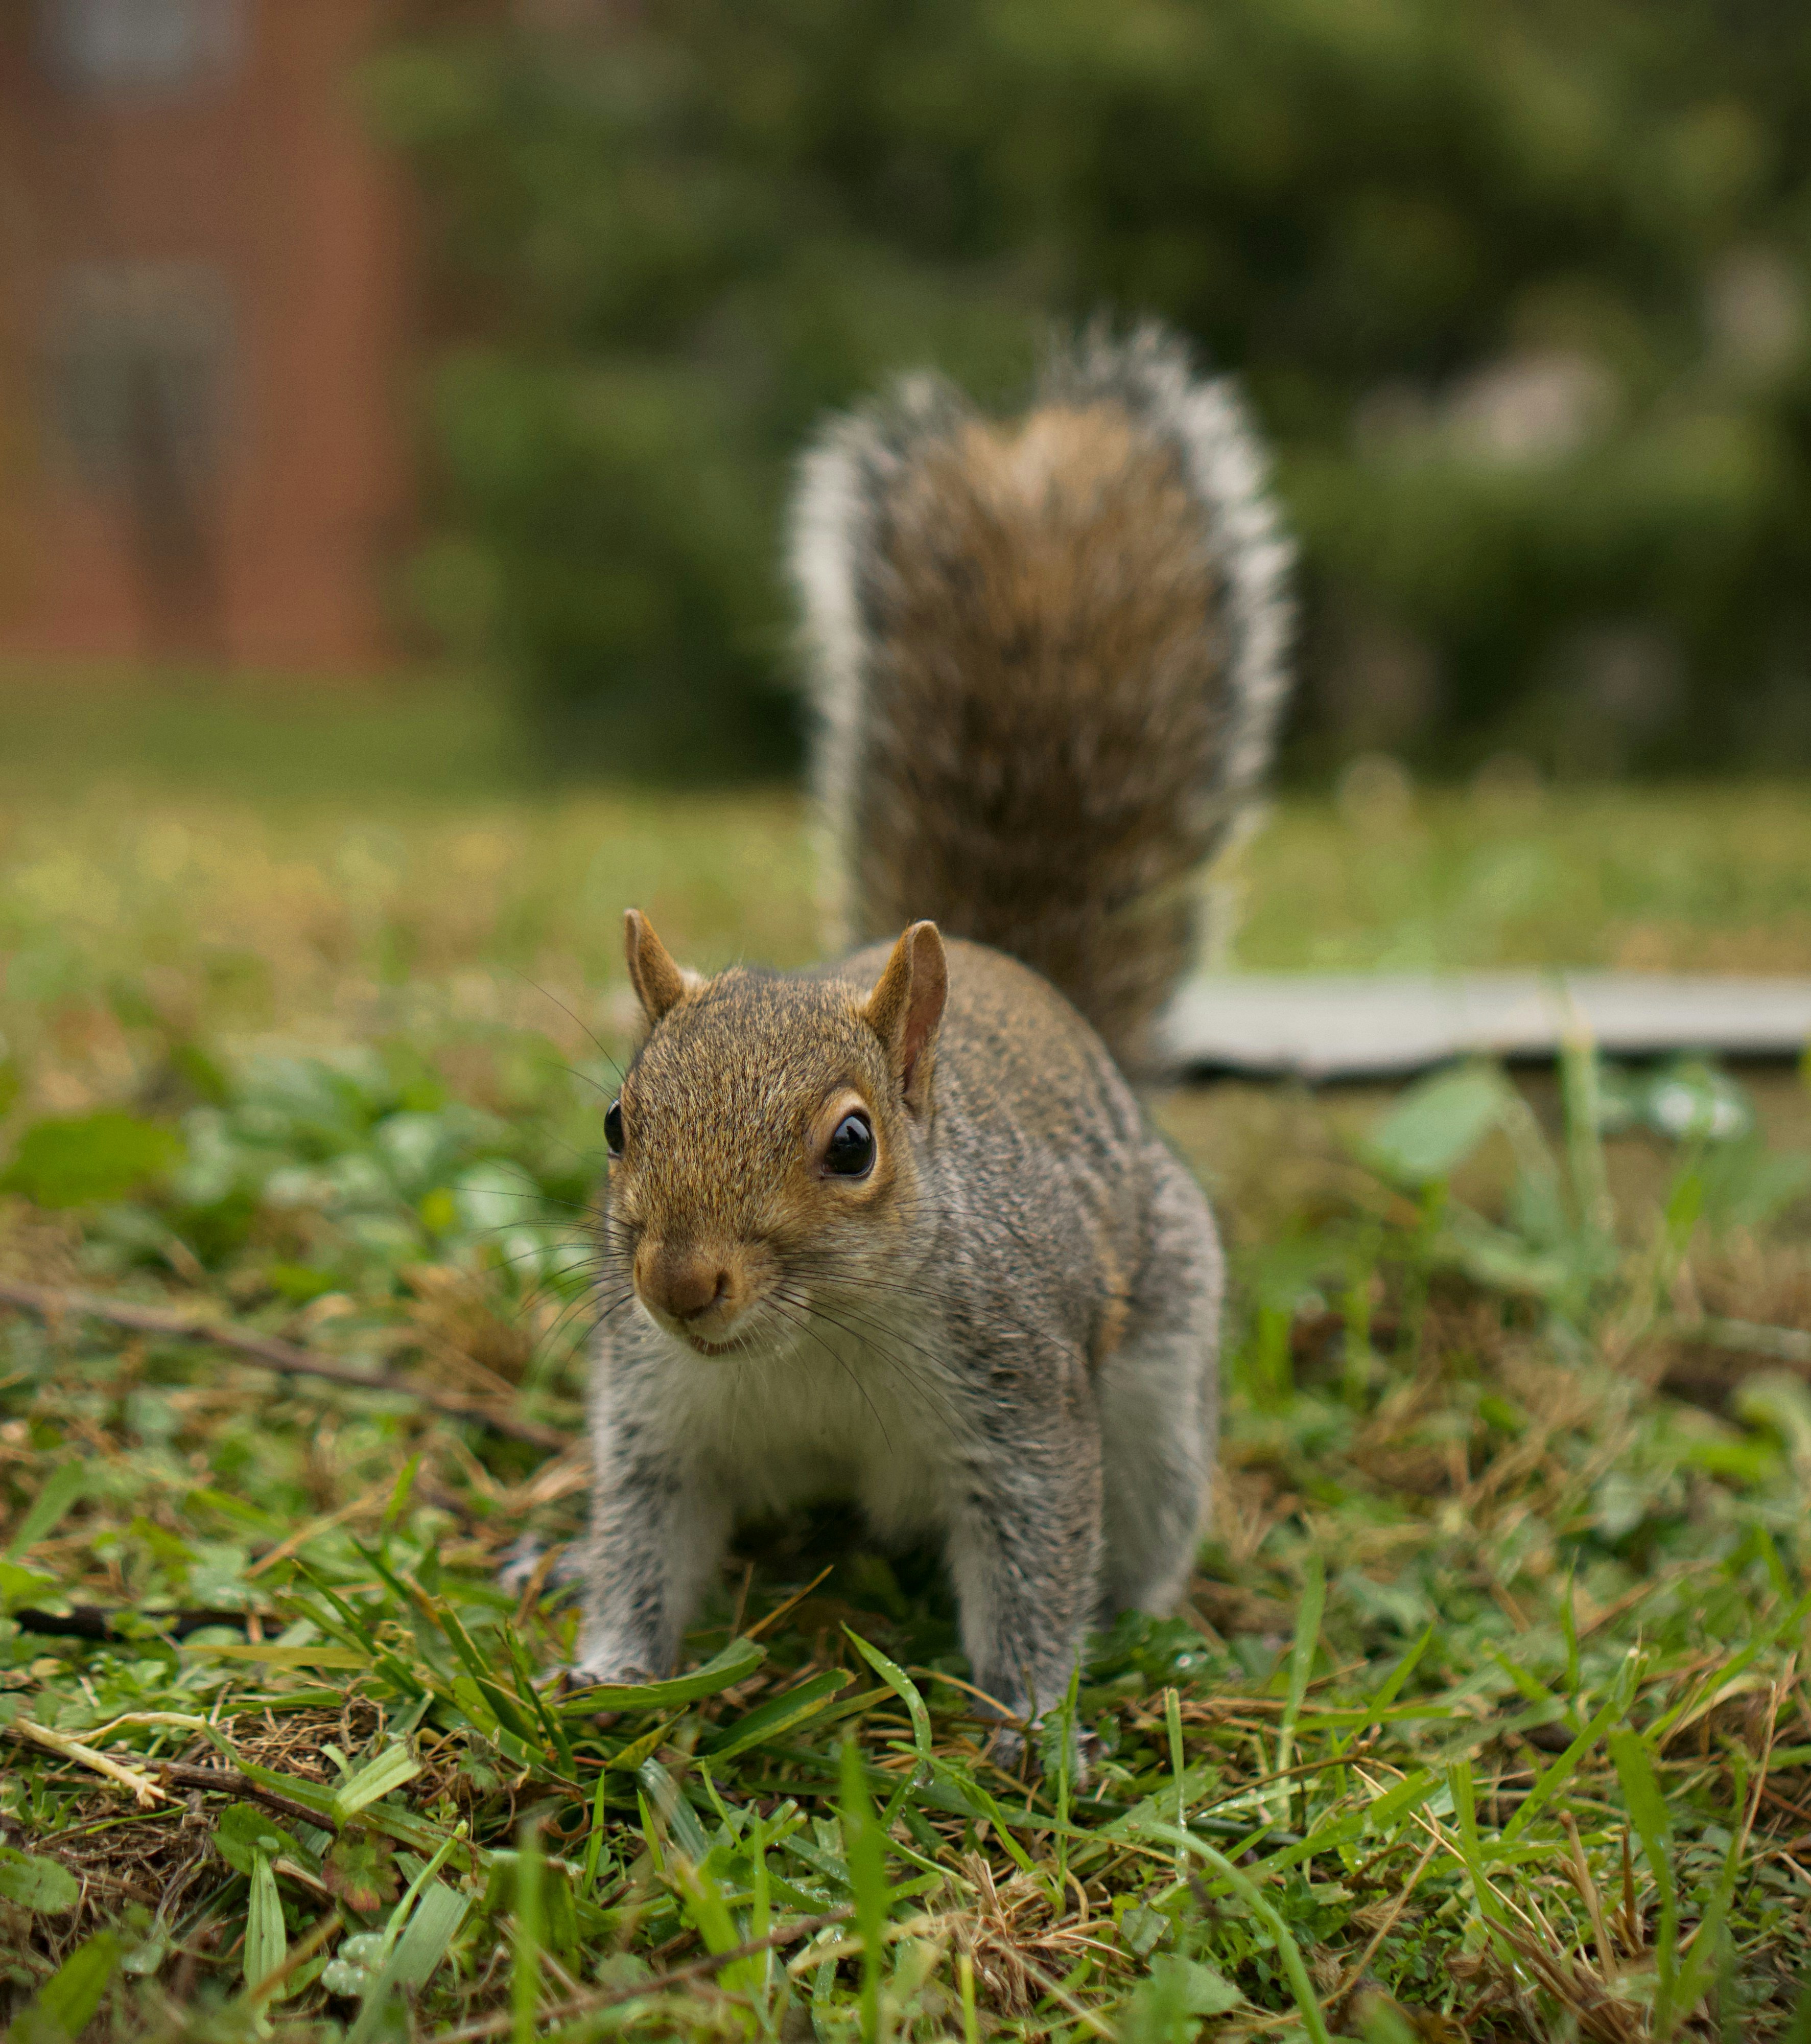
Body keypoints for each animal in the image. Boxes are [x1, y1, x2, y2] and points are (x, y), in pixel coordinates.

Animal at [571, 323, 1294, 1751]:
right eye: (618, 1120)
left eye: (852, 1146)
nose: (679, 1283)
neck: (813, 1342)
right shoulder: (658, 1415)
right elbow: (641, 1539)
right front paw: (613, 1668)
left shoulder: (1021, 1400)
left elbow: (1036, 1557)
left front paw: (1029, 1726)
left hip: (1161, 1389)